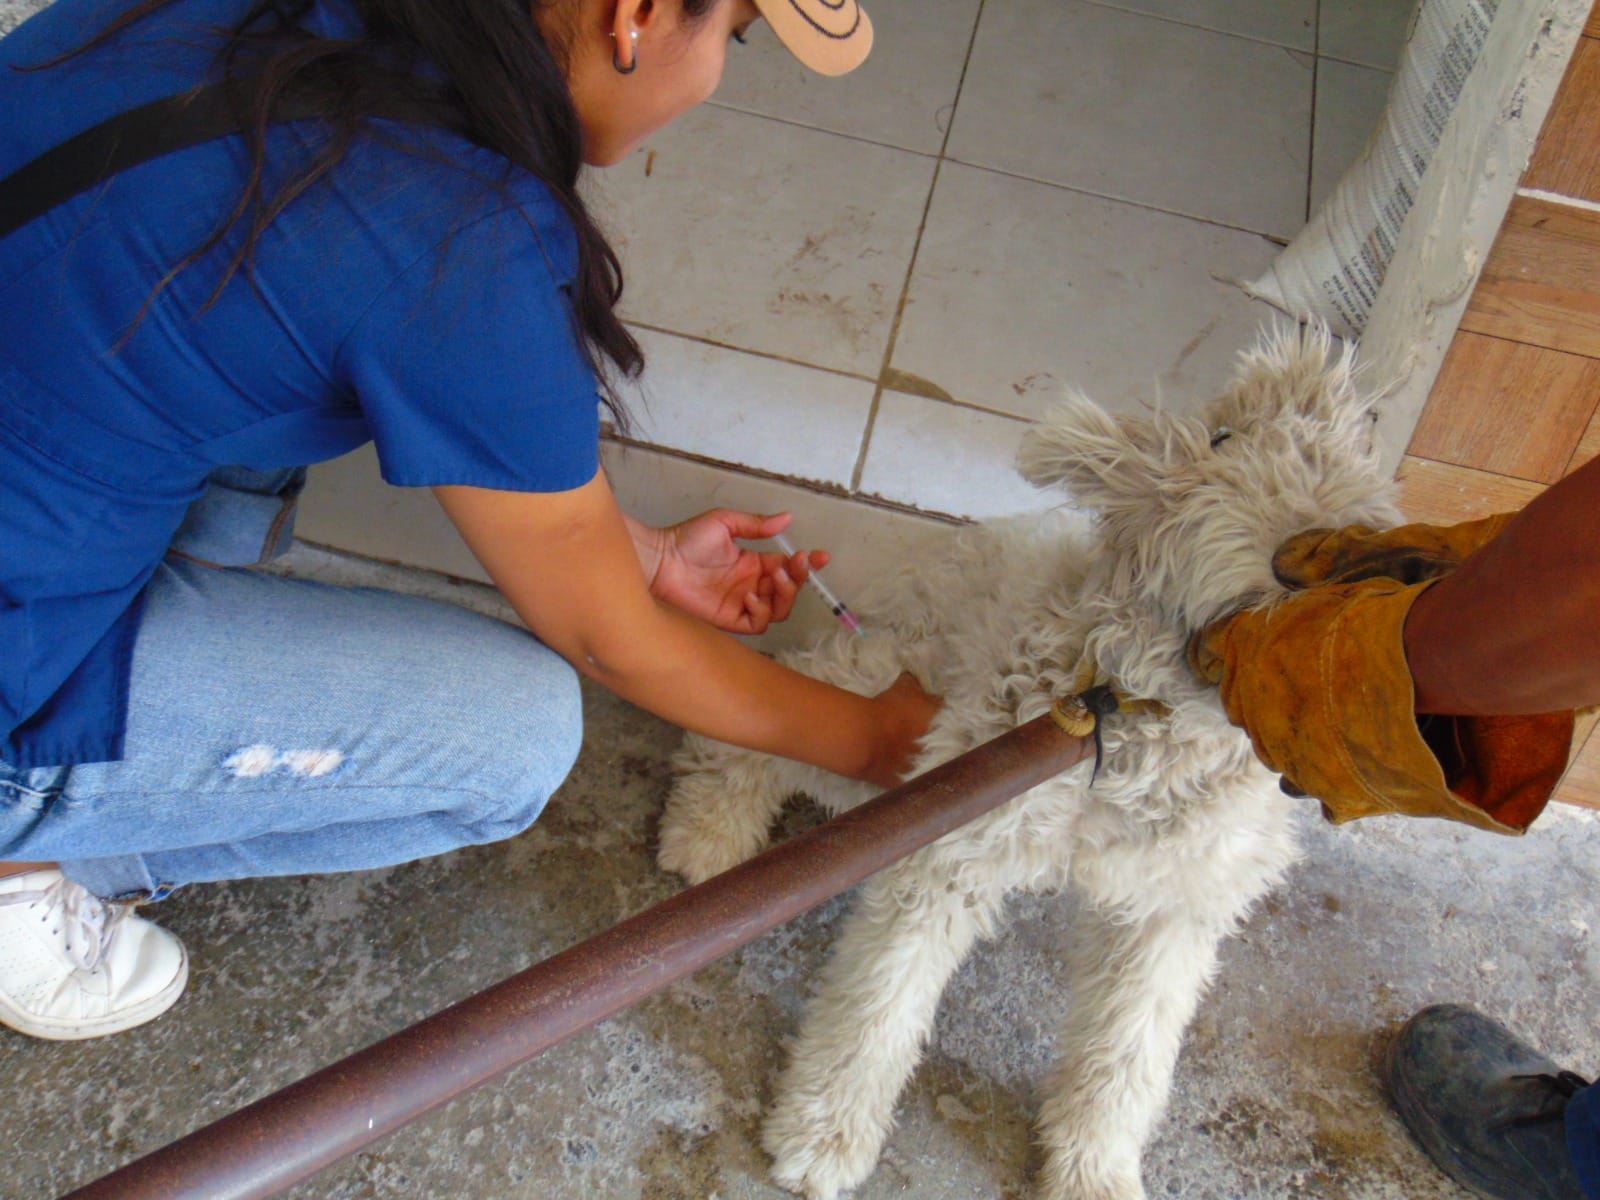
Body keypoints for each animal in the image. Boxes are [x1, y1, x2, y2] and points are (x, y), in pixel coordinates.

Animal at [656, 329, 1408, 1200]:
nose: (1306, 558)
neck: (1143, 730)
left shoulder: (1176, 909)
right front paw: (823, 1138)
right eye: (1222, 440)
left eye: (1361, 451)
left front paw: (1095, 1173)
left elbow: (1127, 1054)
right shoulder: (947, 838)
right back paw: (706, 836)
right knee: (774, 699)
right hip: (886, 717)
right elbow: (880, 1003)